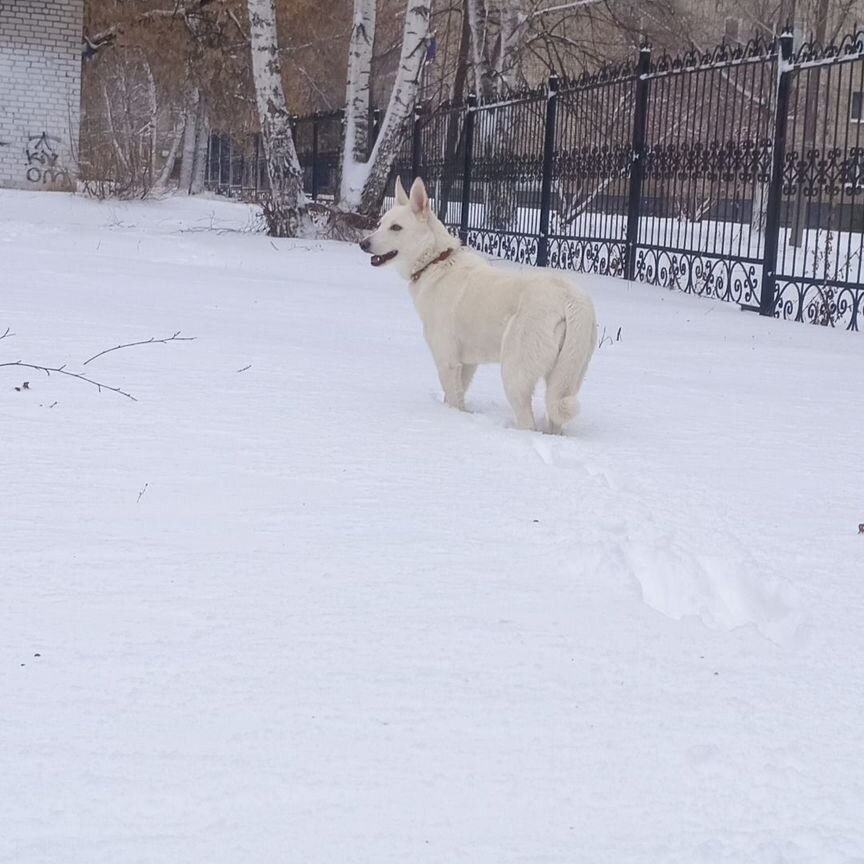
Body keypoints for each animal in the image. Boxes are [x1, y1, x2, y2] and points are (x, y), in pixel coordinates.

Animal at [362, 177, 596, 432]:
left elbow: (453, 401)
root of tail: (569, 297)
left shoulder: (447, 361)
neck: (435, 262)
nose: (363, 243)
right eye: (380, 224)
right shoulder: (467, 365)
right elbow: (456, 396)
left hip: (514, 374)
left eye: (396, 228)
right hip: (564, 377)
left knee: (528, 423)